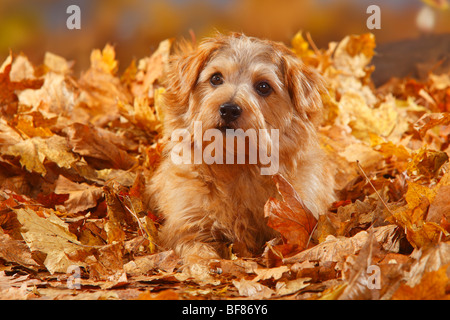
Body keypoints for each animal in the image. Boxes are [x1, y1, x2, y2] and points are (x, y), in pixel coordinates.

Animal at [149, 32, 336, 262]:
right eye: (216, 78)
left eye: (263, 86)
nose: (229, 109)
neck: (235, 163)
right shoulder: (187, 225)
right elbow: (197, 250)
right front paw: (206, 264)